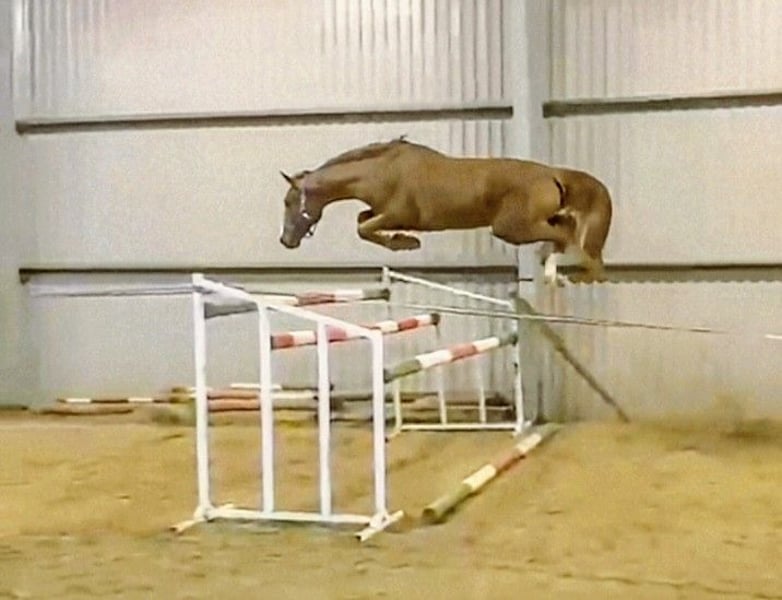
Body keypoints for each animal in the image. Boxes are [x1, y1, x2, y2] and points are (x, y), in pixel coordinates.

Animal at [278, 136, 612, 283]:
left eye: (288, 202)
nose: (285, 241)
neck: (381, 171)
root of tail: (552, 173)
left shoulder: (400, 214)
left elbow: (362, 226)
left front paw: (406, 243)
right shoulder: (383, 213)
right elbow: (363, 221)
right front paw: (403, 241)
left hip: (511, 228)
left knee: (567, 239)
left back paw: (561, 272)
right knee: (566, 233)